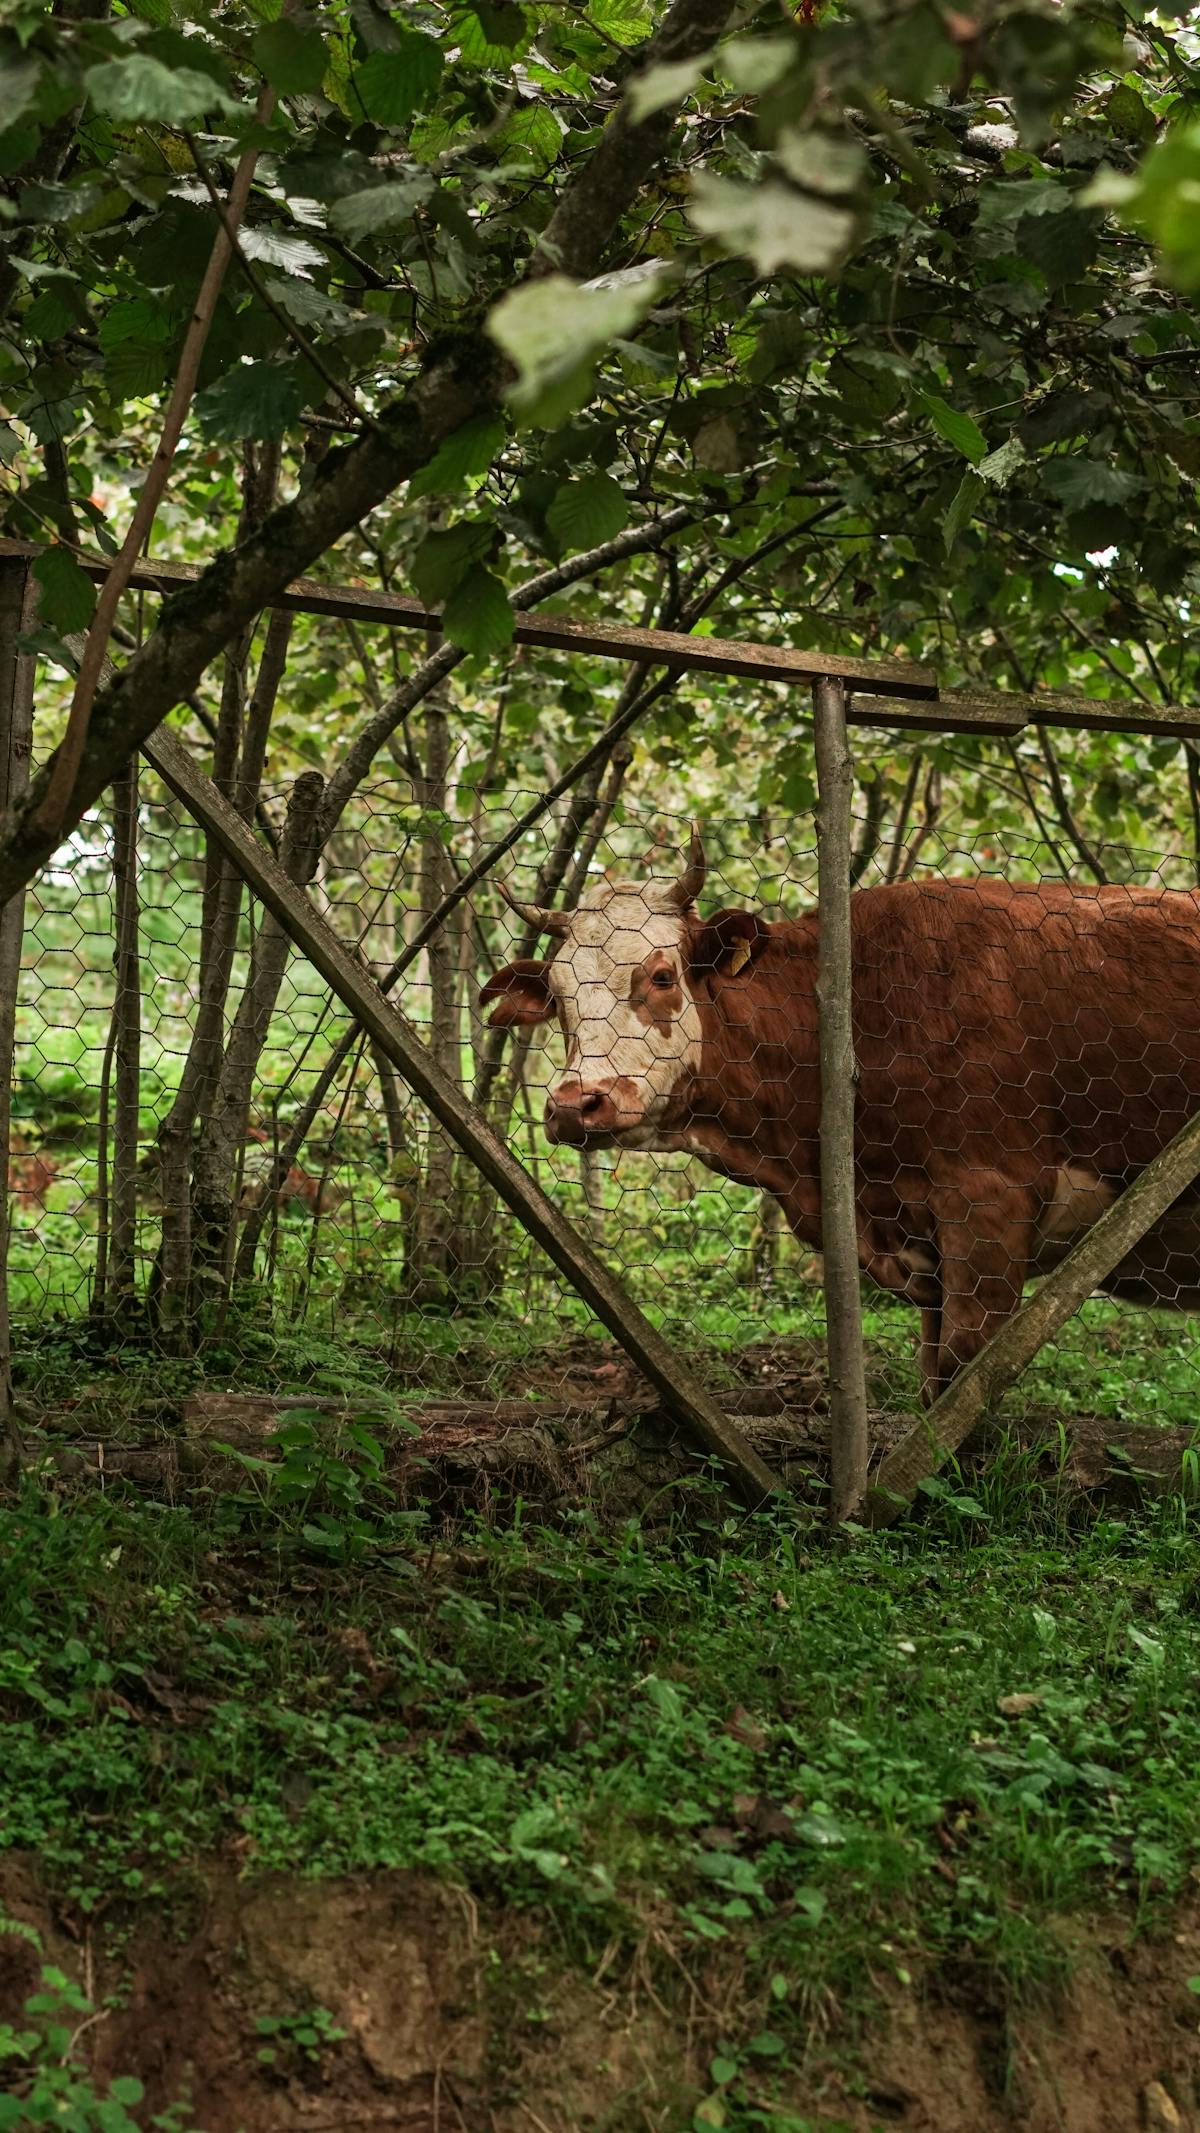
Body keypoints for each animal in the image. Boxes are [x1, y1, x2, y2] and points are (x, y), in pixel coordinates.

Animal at [480, 830, 1200, 1402]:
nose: (576, 1103)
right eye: (559, 997)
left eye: (660, 976)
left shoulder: (989, 1207)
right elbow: (931, 1375)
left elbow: (961, 1378)